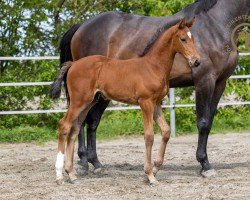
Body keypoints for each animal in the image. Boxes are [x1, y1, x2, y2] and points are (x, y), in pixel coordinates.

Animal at [51, 19, 200, 186]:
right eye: (183, 39)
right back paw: (59, 176)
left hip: (87, 103)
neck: (153, 66)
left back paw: (71, 174)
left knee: (74, 129)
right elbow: (149, 136)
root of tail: (73, 64)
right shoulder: (145, 103)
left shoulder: (156, 104)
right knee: (64, 125)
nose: (196, 61)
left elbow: (166, 131)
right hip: (78, 101)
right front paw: (150, 175)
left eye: (192, 38)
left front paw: (156, 168)